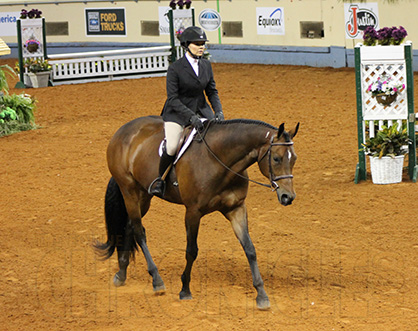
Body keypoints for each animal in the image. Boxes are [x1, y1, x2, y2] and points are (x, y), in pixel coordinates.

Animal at [94, 116, 298, 312]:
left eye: (294, 158)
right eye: (277, 158)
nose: (288, 197)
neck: (219, 160)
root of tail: (123, 130)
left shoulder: (236, 208)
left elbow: (250, 249)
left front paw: (262, 296)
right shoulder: (193, 211)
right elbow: (191, 250)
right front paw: (185, 290)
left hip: (143, 195)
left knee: (129, 226)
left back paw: (121, 273)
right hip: (129, 190)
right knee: (138, 231)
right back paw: (157, 280)